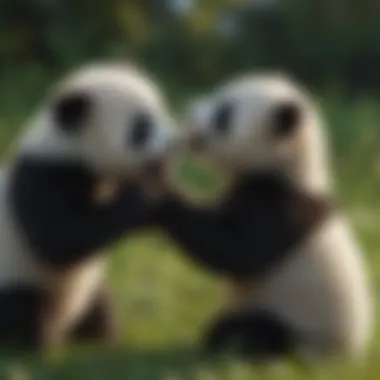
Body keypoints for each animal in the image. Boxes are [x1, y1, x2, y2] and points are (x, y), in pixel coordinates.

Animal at [0, 61, 175, 350]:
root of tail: (65, 326)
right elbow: (58, 239)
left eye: (162, 111)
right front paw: (148, 191)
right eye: (141, 127)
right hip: (17, 277)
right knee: (24, 308)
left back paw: (99, 338)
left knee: (103, 307)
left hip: (89, 292)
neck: (69, 145)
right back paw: (38, 343)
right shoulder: (44, 175)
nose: (174, 143)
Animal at [159, 72, 372, 360]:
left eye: (224, 114)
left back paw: (225, 338)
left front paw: (161, 194)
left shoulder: (281, 206)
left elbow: (235, 253)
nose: (190, 113)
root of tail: (351, 353)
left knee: (256, 331)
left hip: (302, 328)